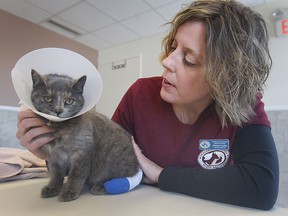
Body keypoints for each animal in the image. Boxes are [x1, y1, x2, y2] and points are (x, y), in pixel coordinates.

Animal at [31, 70, 139, 202]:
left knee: (120, 175)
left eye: (69, 101)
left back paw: (100, 186)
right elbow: (56, 175)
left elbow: (76, 174)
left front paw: (69, 191)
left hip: (111, 155)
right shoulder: (54, 157)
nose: (58, 110)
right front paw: (52, 188)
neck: (59, 130)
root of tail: (137, 163)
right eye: (48, 98)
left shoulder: (82, 153)